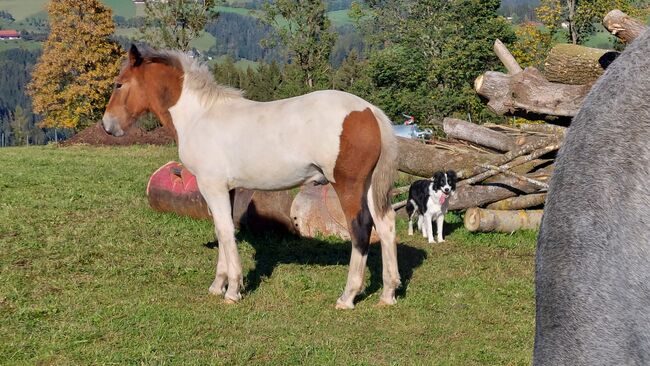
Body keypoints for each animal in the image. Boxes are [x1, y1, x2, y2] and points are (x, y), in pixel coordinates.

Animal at [102, 45, 398, 308]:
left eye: (119, 84)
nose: (107, 126)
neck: (199, 116)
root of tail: (369, 111)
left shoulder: (212, 187)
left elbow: (224, 231)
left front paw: (233, 290)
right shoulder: (227, 190)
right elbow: (224, 230)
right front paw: (218, 285)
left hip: (348, 186)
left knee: (361, 228)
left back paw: (348, 297)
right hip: (369, 186)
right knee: (386, 224)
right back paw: (388, 294)